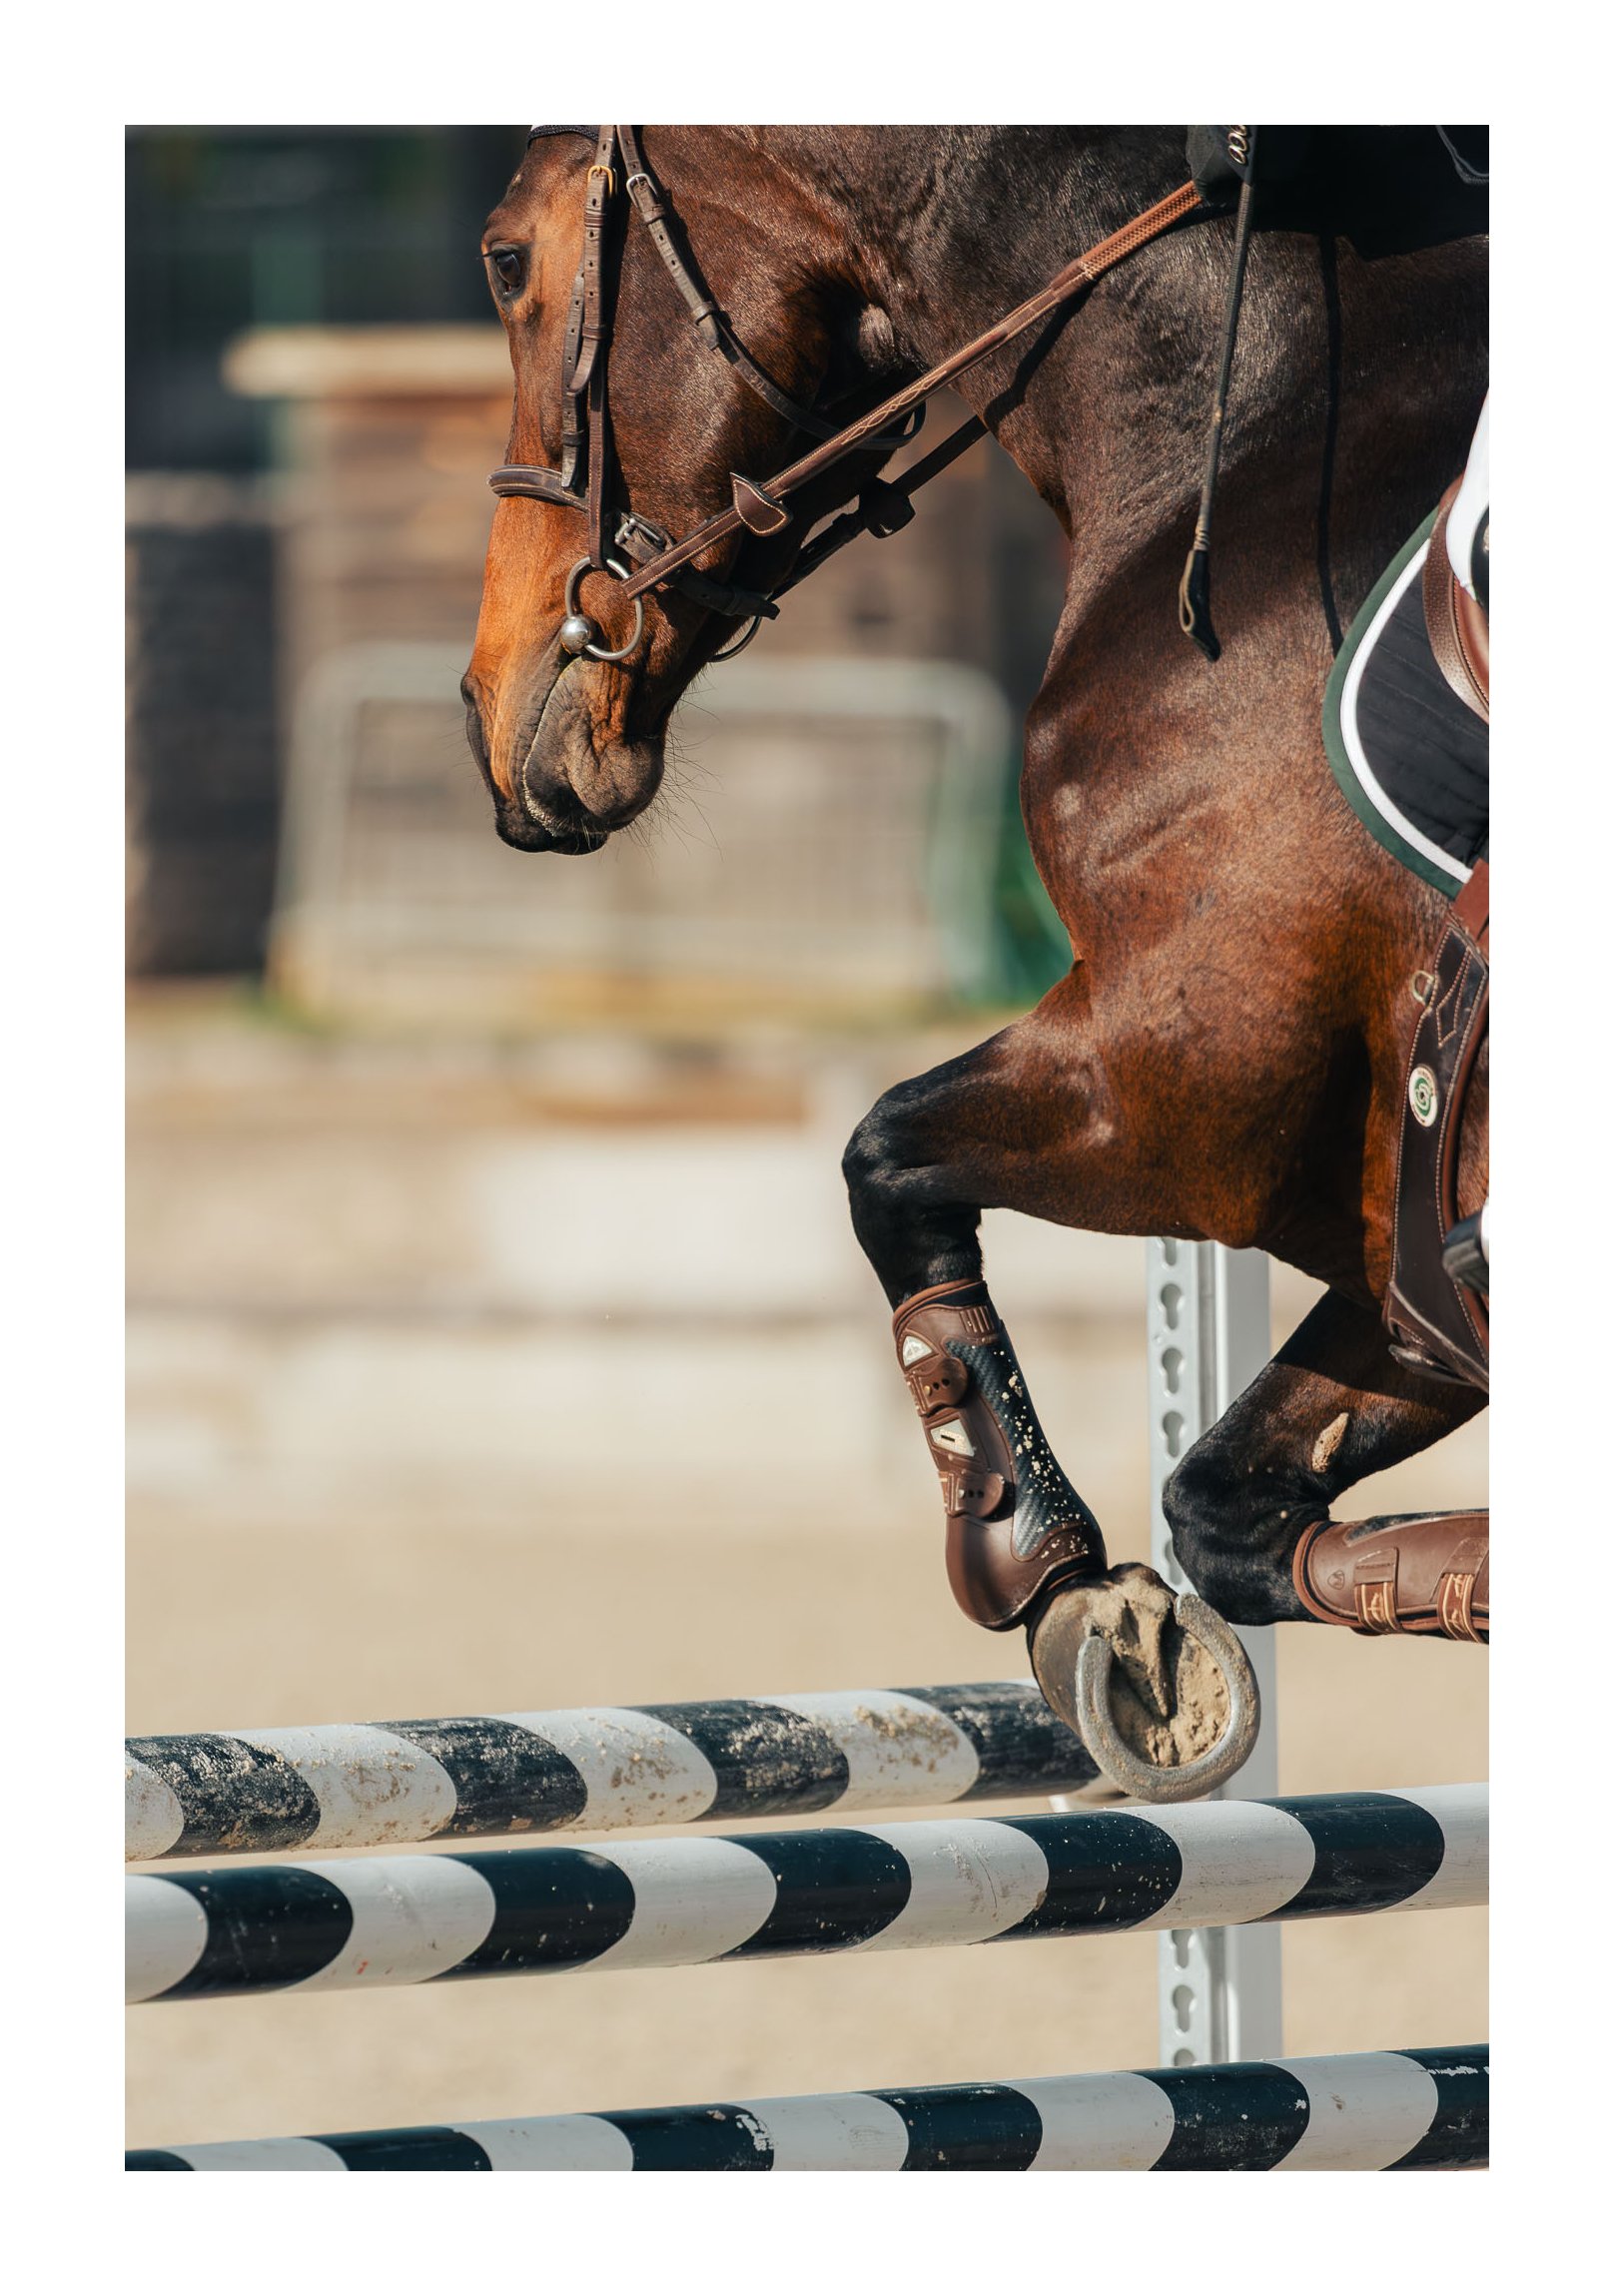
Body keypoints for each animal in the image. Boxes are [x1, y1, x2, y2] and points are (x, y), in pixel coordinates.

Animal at [462, 126, 1488, 1798]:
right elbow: (1232, 1513)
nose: (496, 713)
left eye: (503, 257)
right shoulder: (1394, 1239)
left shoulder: (1184, 1074)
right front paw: (1136, 1626)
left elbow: (884, 1158)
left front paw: (1043, 1571)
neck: (1261, 419)